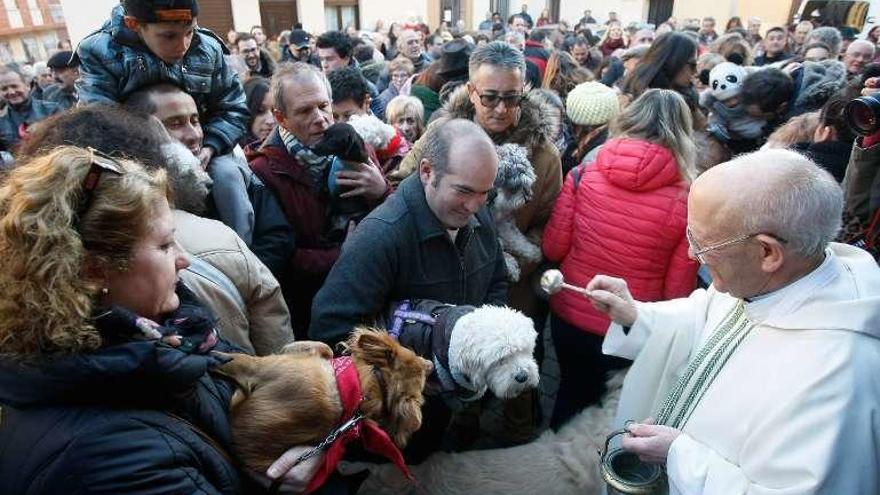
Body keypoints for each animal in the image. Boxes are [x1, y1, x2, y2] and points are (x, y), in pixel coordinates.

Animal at [213, 330, 434, 472]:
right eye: (417, 356)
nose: (432, 363)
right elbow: (325, 347)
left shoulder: (259, 368)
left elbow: (235, 359)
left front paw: (212, 355)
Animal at [488, 144, 544, 282]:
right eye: (514, 186)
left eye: (529, 180)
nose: (528, 199)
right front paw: (512, 267)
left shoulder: (503, 223)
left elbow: (517, 239)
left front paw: (533, 251)